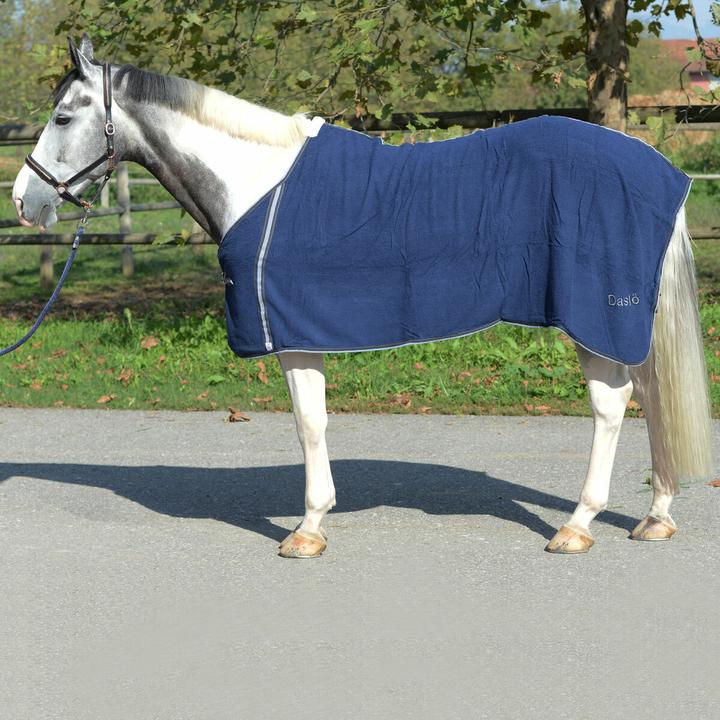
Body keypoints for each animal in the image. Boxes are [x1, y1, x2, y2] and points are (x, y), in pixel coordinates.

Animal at [12, 35, 713, 558]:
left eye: (63, 117)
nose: (25, 199)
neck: (256, 183)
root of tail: (658, 170)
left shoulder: (292, 334)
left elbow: (308, 424)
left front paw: (306, 529)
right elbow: (315, 421)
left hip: (593, 317)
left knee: (612, 405)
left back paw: (577, 525)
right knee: (652, 396)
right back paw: (655, 516)